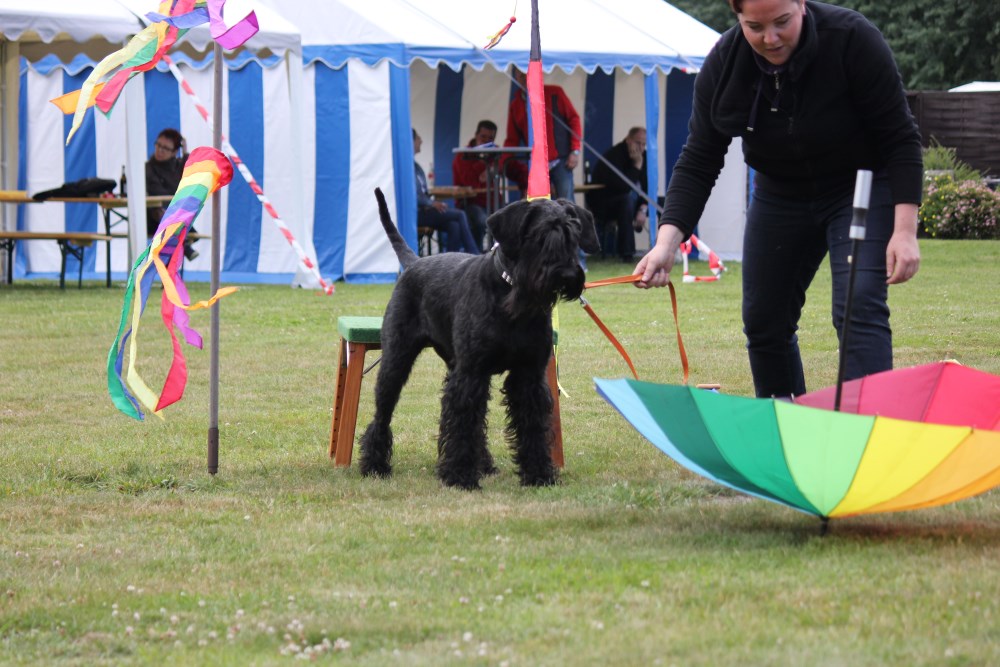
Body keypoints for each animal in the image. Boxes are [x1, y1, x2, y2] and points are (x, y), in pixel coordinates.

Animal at [358, 188, 592, 490]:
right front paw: (459, 476)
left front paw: (539, 474)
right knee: (383, 413)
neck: (510, 295)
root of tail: (415, 262)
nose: (567, 274)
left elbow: (531, 426)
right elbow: (463, 423)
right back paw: (375, 465)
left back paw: (483, 464)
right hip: (396, 361)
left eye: (573, 235)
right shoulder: (471, 373)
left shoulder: (528, 375)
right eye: (540, 236)